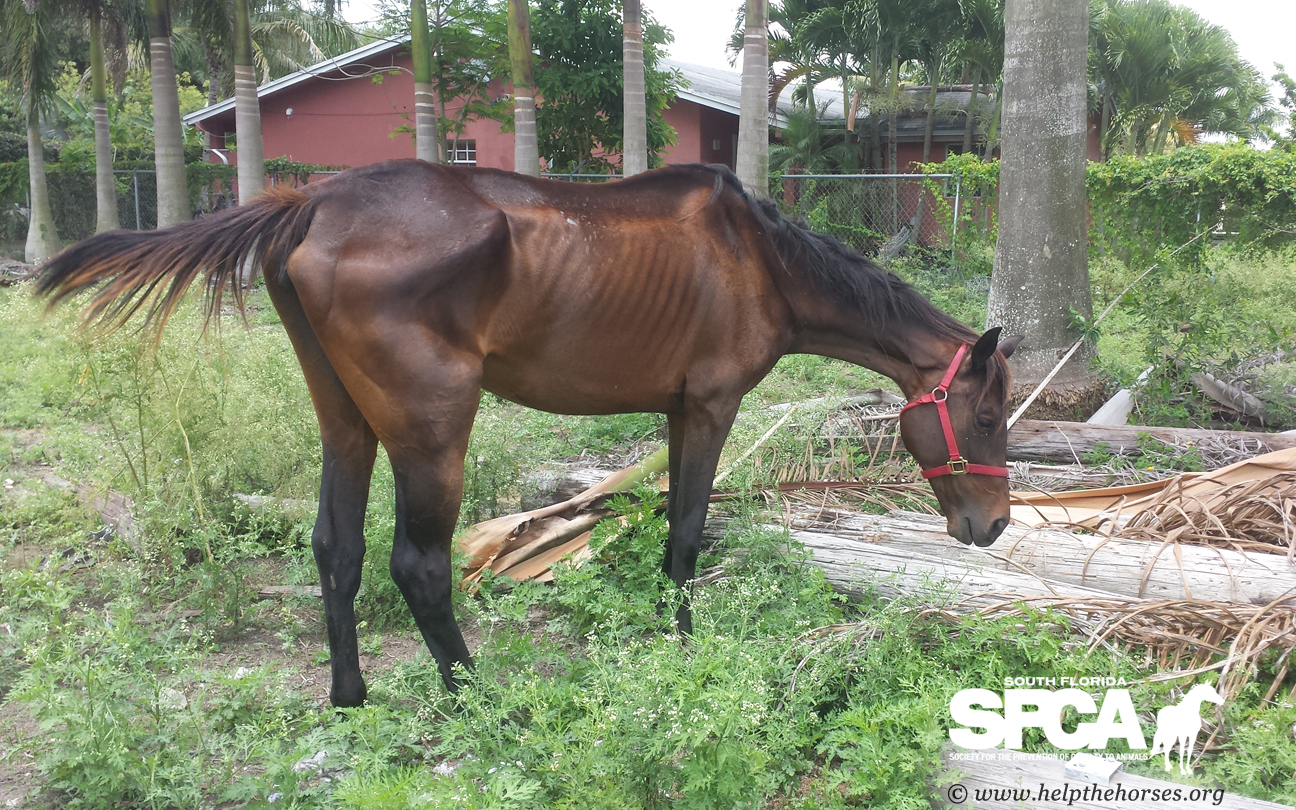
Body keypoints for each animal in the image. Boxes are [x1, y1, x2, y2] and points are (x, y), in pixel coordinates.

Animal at [37, 161, 1020, 708]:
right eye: (984, 415)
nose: (995, 525)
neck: (760, 260)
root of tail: (312, 203)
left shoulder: (674, 412)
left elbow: (670, 534)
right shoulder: (709, 408)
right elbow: (687, 536)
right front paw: (684, 648)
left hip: (346, 422)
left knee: (336, 550)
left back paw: (351, 698)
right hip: (432, 430)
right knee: (418, 566)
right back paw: (478, 701)